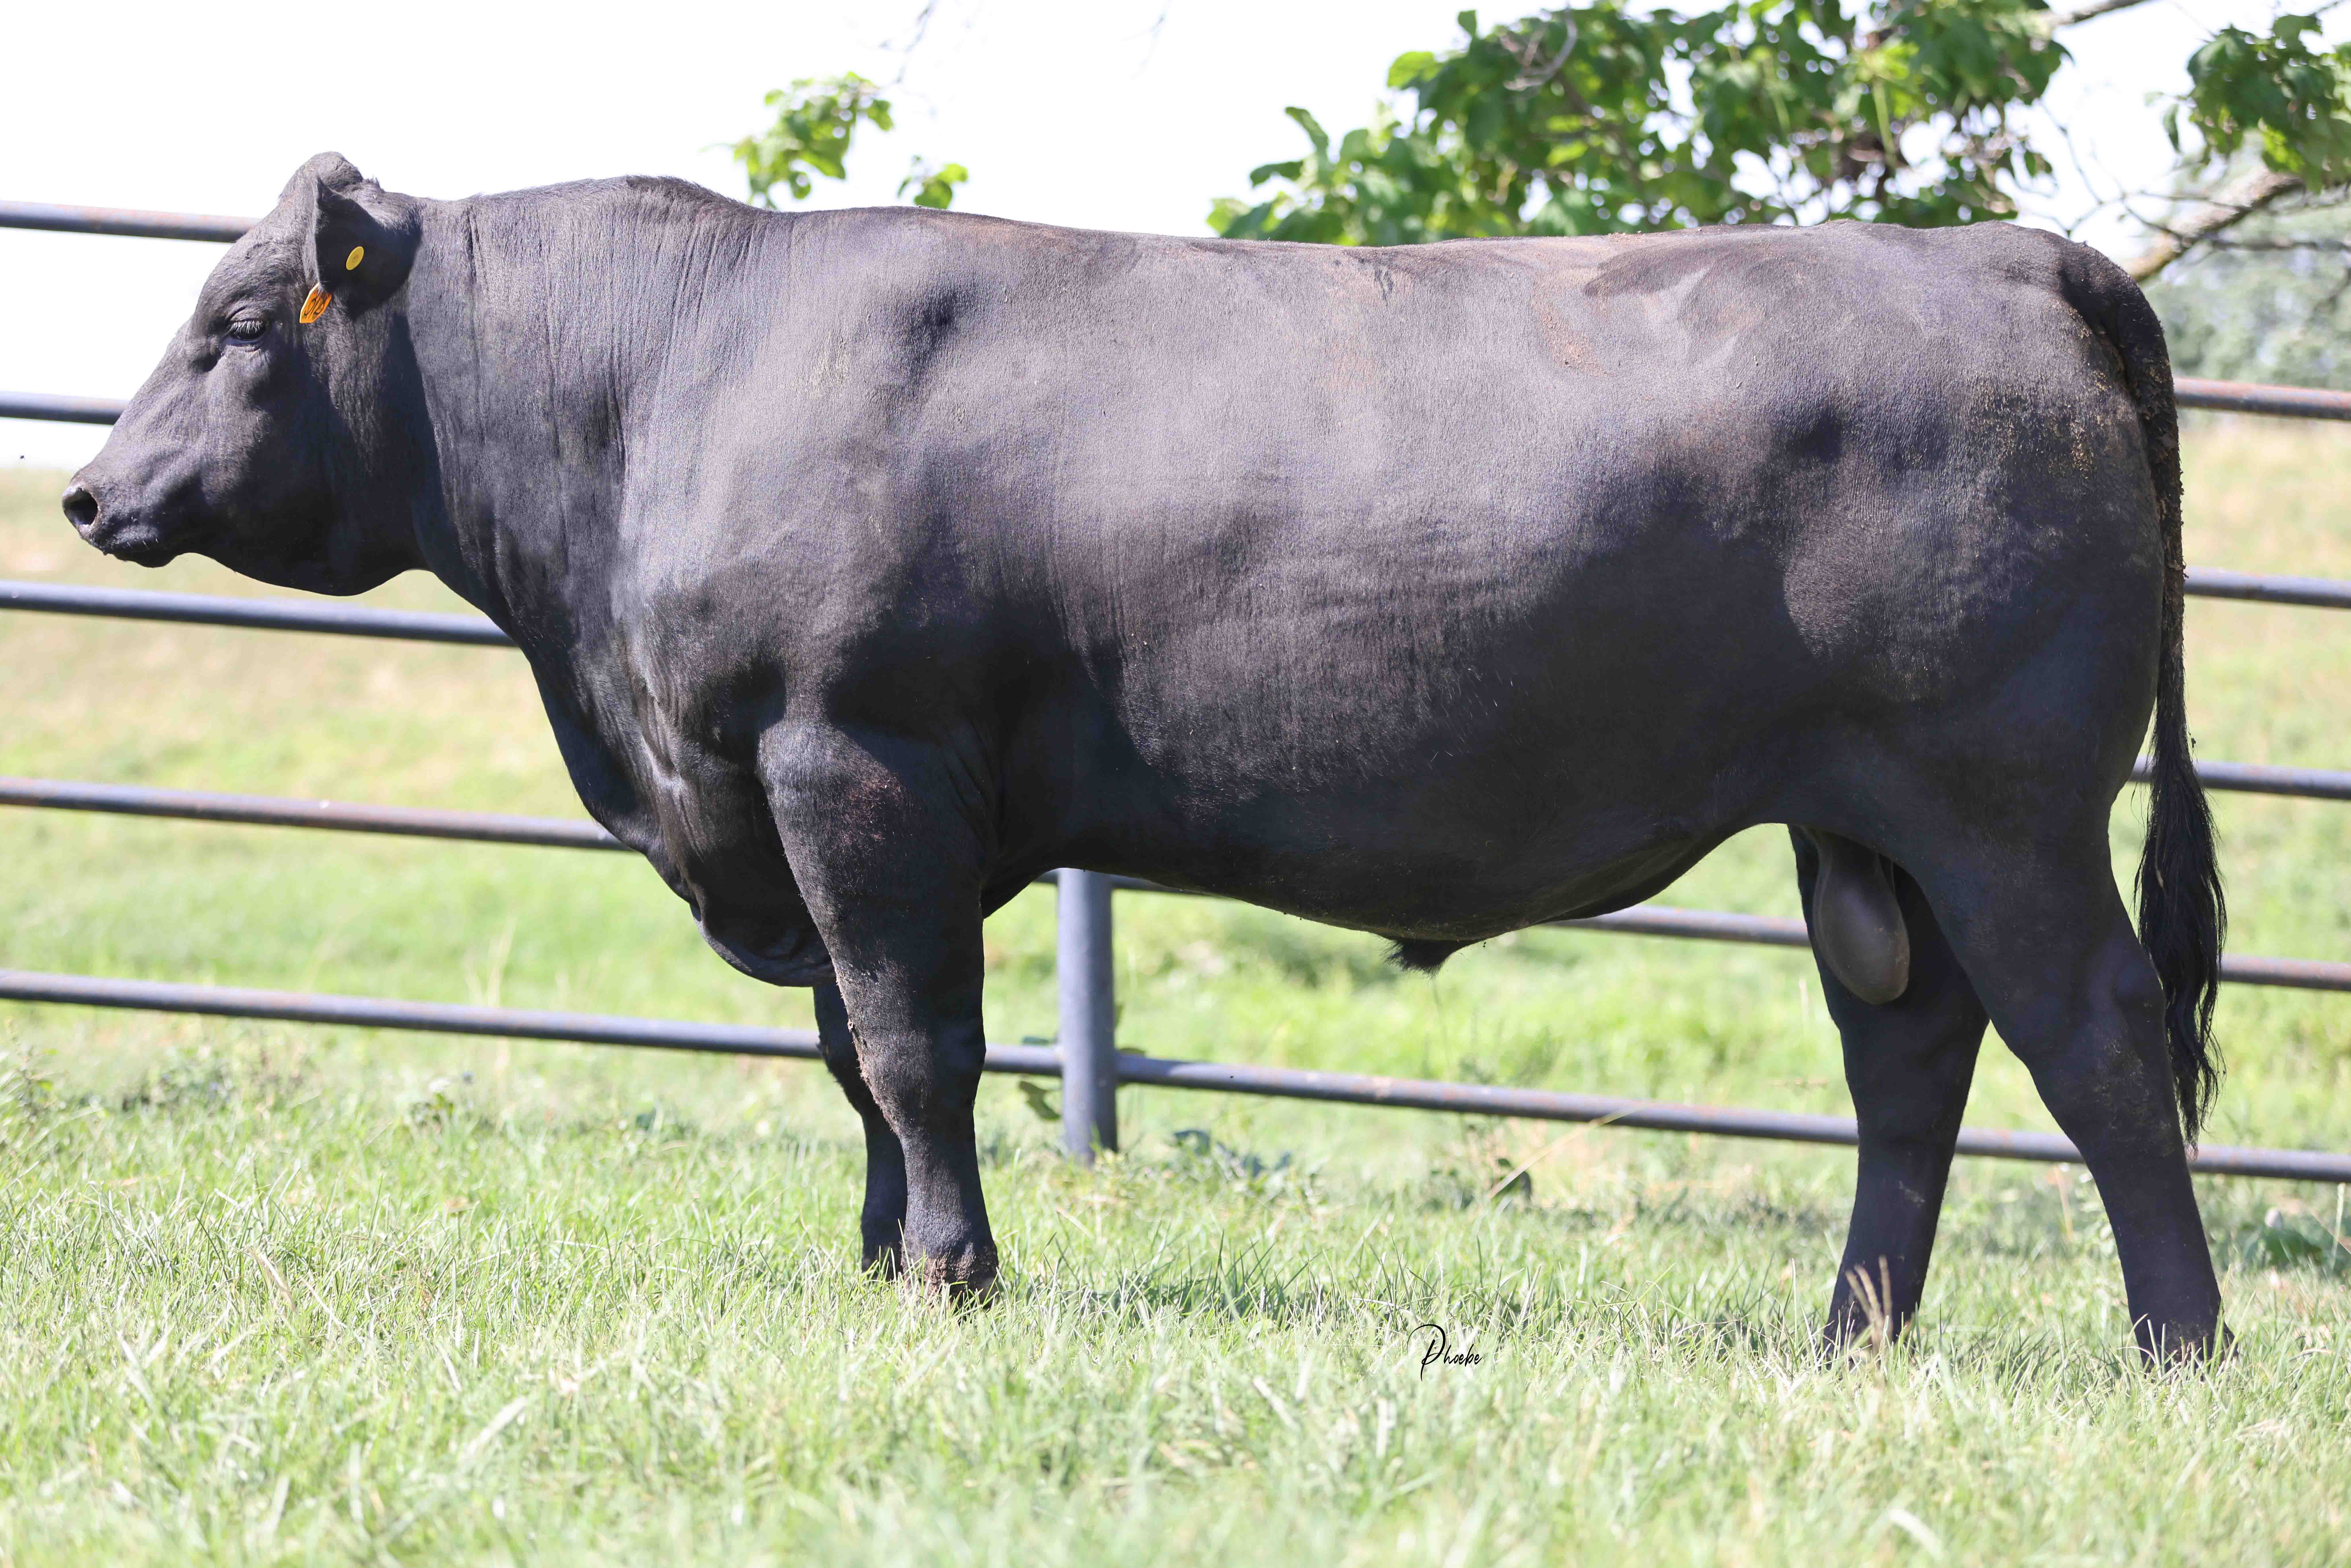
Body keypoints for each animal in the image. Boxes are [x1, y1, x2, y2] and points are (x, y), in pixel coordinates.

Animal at [64, 154, 2227, 1358]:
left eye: (241, 318)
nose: (84, 491)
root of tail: (1992, 256)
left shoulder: (850, 763)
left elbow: (916, 1047)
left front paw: (951, 1276)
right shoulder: (810, 804)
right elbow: (854, 1057)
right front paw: (886, 1261)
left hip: (2006, 805)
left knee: (2102, 1046)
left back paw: (2175, 1341)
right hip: (1866, 829)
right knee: (1910, 1065)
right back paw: (1854, 1338)